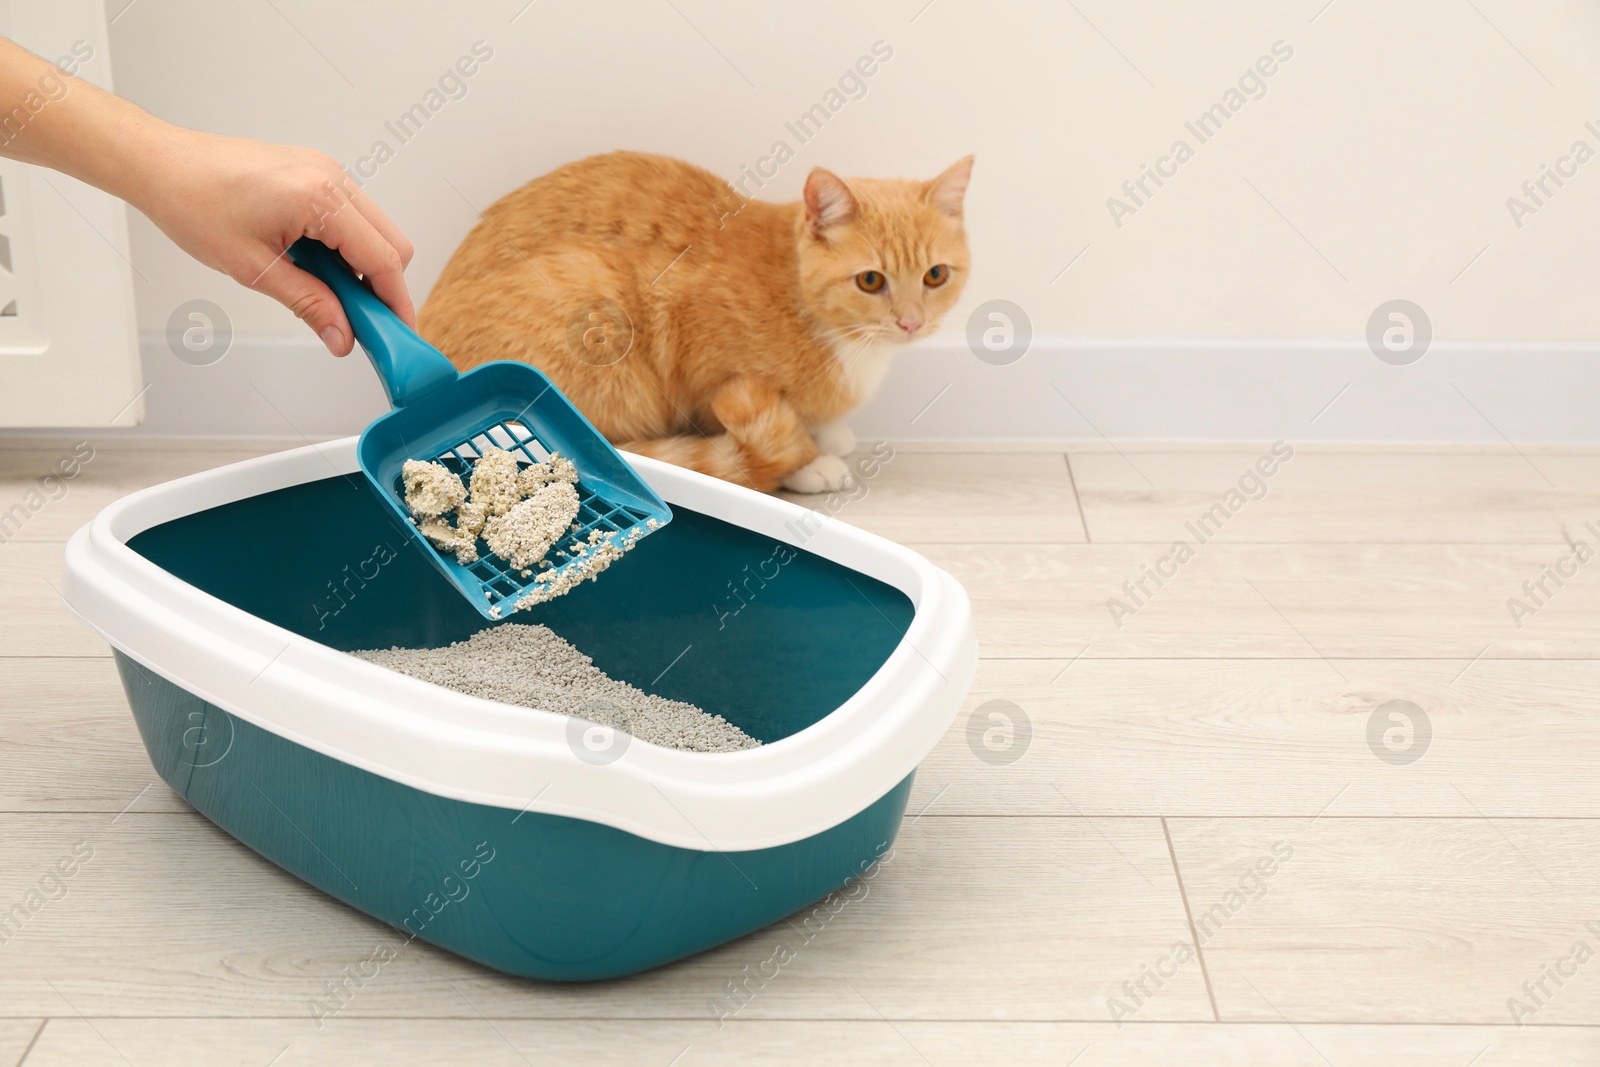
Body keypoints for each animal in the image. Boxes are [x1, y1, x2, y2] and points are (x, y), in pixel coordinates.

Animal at [419, 151, 966, 495]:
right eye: (871, 281)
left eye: (935, 275)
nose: (912, 323)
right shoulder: (701, 359)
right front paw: (810, 463)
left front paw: (827, 436)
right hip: (594, 299)